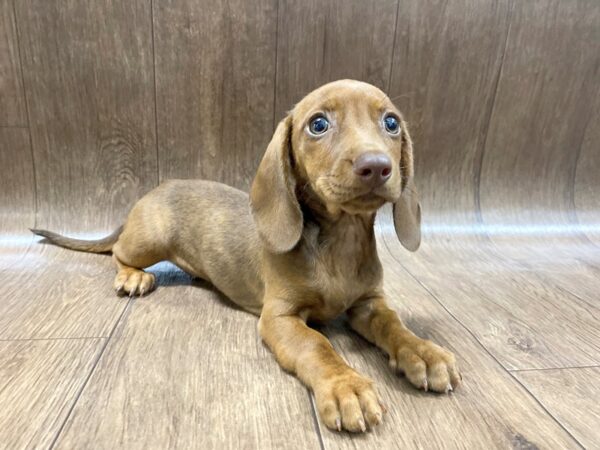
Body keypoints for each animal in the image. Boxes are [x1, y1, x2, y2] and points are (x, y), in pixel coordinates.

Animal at [32, 80, 462, 432]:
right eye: (318, 125)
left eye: (391, 123)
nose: (376, 166)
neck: (339, 242)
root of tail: (155, 189)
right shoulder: (280, 317)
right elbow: (317, 346)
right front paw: (346, 386)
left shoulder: (369, 304)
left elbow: (393, 324)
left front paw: (422, 352)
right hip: (149, 240)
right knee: (119, 251)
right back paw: (132, 275)